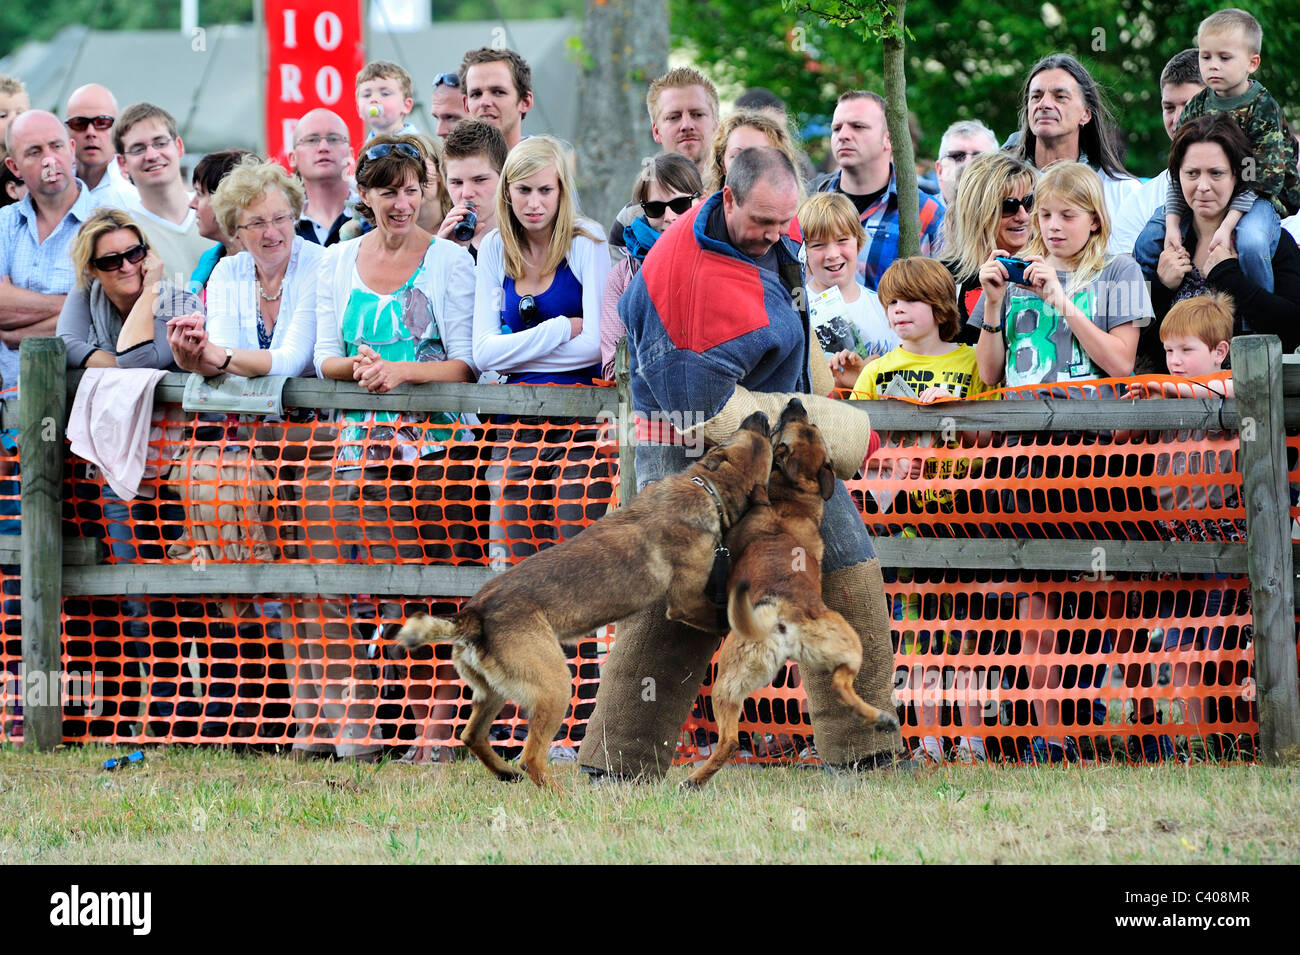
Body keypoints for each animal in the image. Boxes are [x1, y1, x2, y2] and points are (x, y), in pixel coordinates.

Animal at [392, 413, 769, 789]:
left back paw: (505, 772)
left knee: (471, 735)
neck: (706, 486)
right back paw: (558, 793)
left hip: (493, 691)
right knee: (531, 757)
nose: (762, 415)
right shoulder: (686, 601)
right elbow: (718, 616)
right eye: (758, 441)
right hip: (554, 685)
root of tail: (473, 614)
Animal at [686, 400, 899, 789]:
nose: (795, 402)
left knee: (728, 741)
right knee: (842, 685)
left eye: (784, 426)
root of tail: (787, 616)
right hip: (848, 645)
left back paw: (694, 779)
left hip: (727, 679)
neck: (796, 494)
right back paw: (878, 718)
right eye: (810, 425)